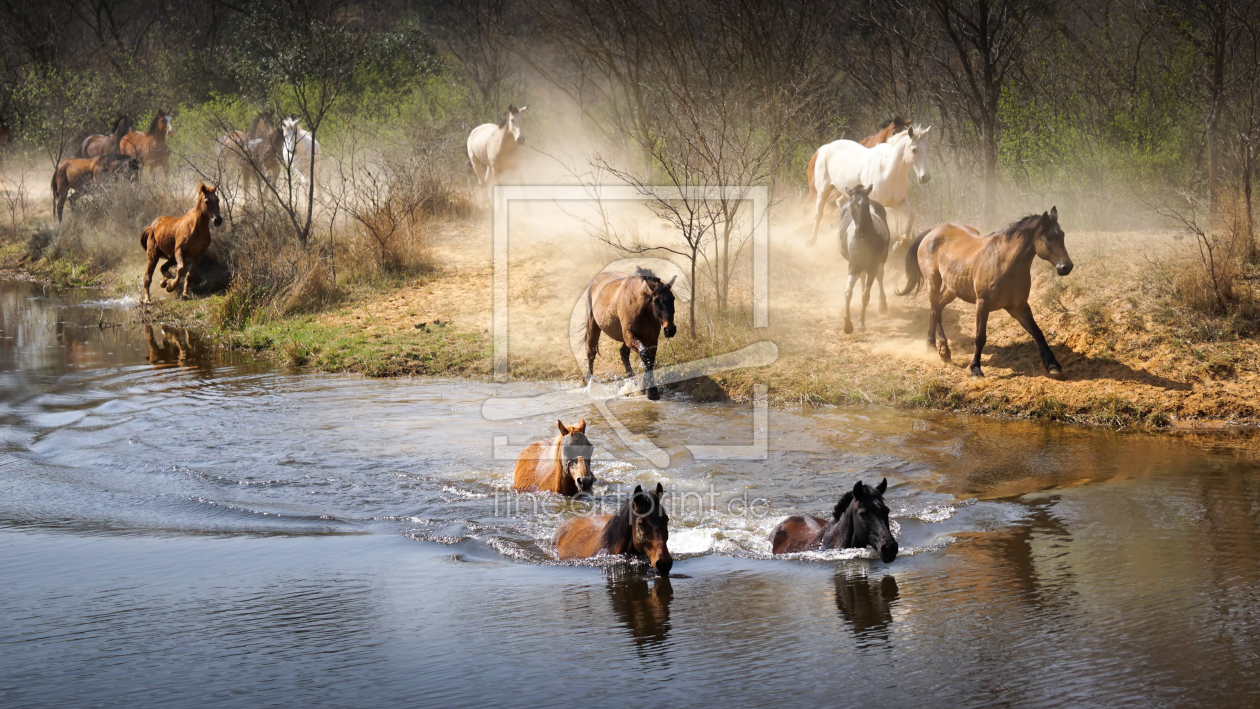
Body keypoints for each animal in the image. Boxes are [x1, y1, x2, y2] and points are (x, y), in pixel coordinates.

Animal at [582, 269, 675, 402]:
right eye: (656, 300)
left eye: (673, 298)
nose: (670, 330)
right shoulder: (630, 336)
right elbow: (645, 355)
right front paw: (652, 392)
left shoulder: (652, 340)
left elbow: (650, 360)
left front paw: (648, 390)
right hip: (592, 327)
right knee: (591, 353)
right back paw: (589, 383)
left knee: (623, 353)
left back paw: (631, 382)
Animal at [841, 186, 892, 334]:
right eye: (851, 205)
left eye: (866, 205)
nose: (860, 231)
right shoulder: (853, 266)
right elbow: (848, 293)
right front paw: (847, 324)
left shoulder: (872, 268)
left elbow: (865, 295)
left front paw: (861, 323)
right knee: (862, 277)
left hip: (882, 260)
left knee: (880, 278)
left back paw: (883, 305)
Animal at [897, 206, 1073, 380]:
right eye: (1049, 237)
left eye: (1062, 235)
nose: (1066, 267)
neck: (1004, 262)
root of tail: (933, 232)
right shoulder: (982, 304)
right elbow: (980, 337)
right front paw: (975, 368)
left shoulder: (1019, 307)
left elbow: (1037, 332)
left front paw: (1053, 365)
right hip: (933, 282)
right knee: (934, 309)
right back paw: (942, 349)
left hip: (952, 288)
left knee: (937, 308)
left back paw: (933, 345)